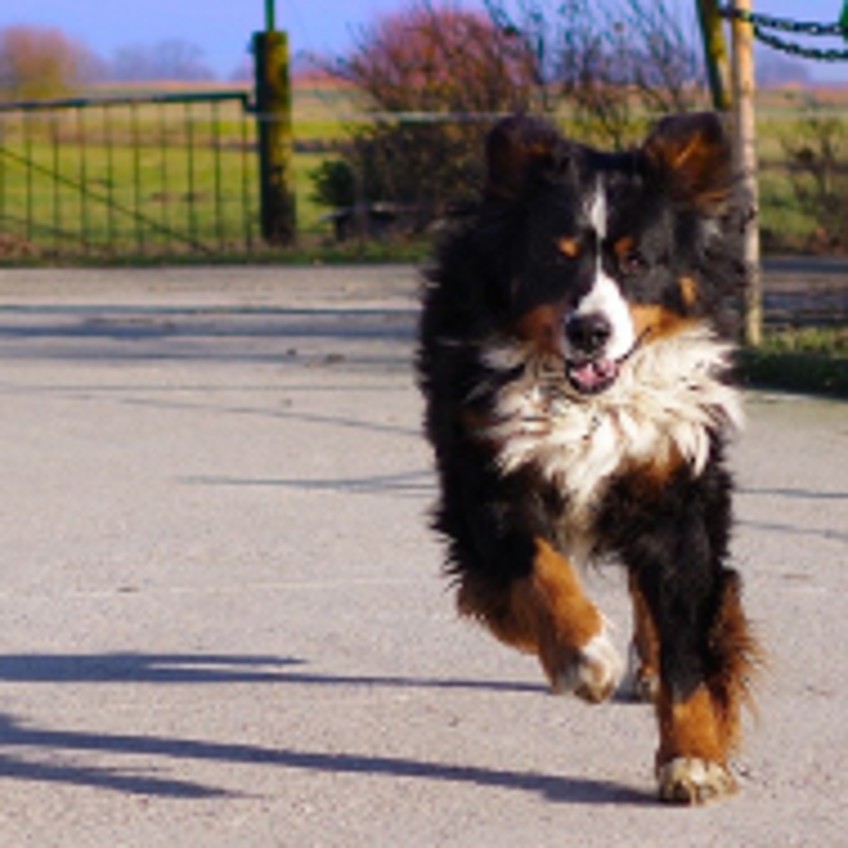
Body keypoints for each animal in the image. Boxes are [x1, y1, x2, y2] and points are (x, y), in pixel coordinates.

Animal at [420, 112, 760, 800]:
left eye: (637, 260)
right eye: (557, 258)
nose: (590, 331)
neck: (587, 401)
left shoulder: (675, 487)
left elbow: (688, 635)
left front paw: (694, 758)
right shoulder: (486, 478)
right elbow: (536, 570)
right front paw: (582, 656)